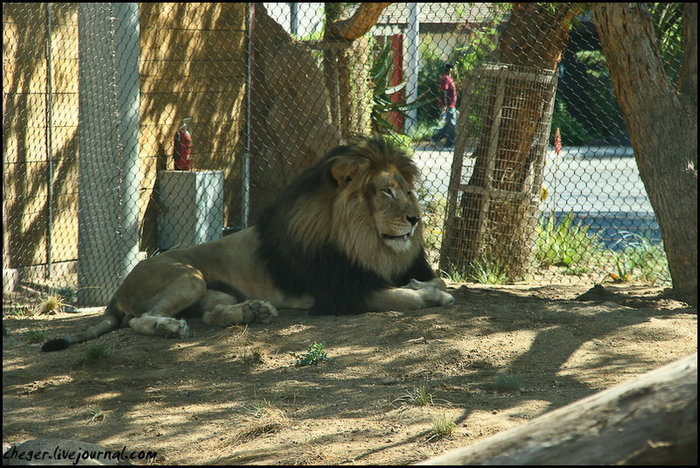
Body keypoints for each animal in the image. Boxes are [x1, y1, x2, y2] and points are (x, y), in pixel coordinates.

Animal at [42, 135, 454, 352]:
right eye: (386, 192)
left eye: (408, 191)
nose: (416, 219)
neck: (368, 243)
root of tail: (118, 289)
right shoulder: (341, 294)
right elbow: (404, 298)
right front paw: (432, 294)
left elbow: (418, 281)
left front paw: (426, 282)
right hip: (189, 276)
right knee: (137, 321)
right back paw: (169, 329)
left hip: (214, 291)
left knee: (211, 315)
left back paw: (254, 312)